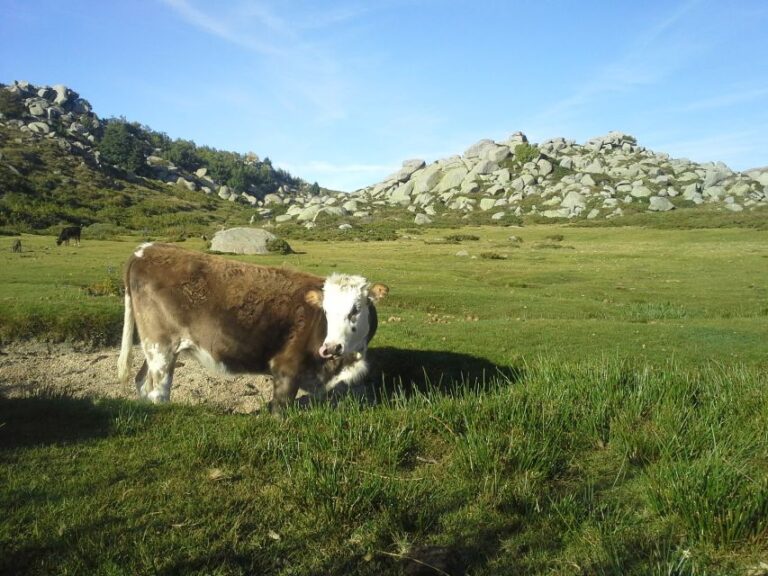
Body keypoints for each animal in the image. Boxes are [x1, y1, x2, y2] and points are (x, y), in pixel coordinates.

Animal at [118, 241, 390, 412]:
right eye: (326, 310)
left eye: (355, 309)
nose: (331, 347)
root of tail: (146, 249)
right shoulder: (286, 368)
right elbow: (281, 410)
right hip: (161, 347)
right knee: (158, 392)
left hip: (155, 348)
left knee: (142, 382)